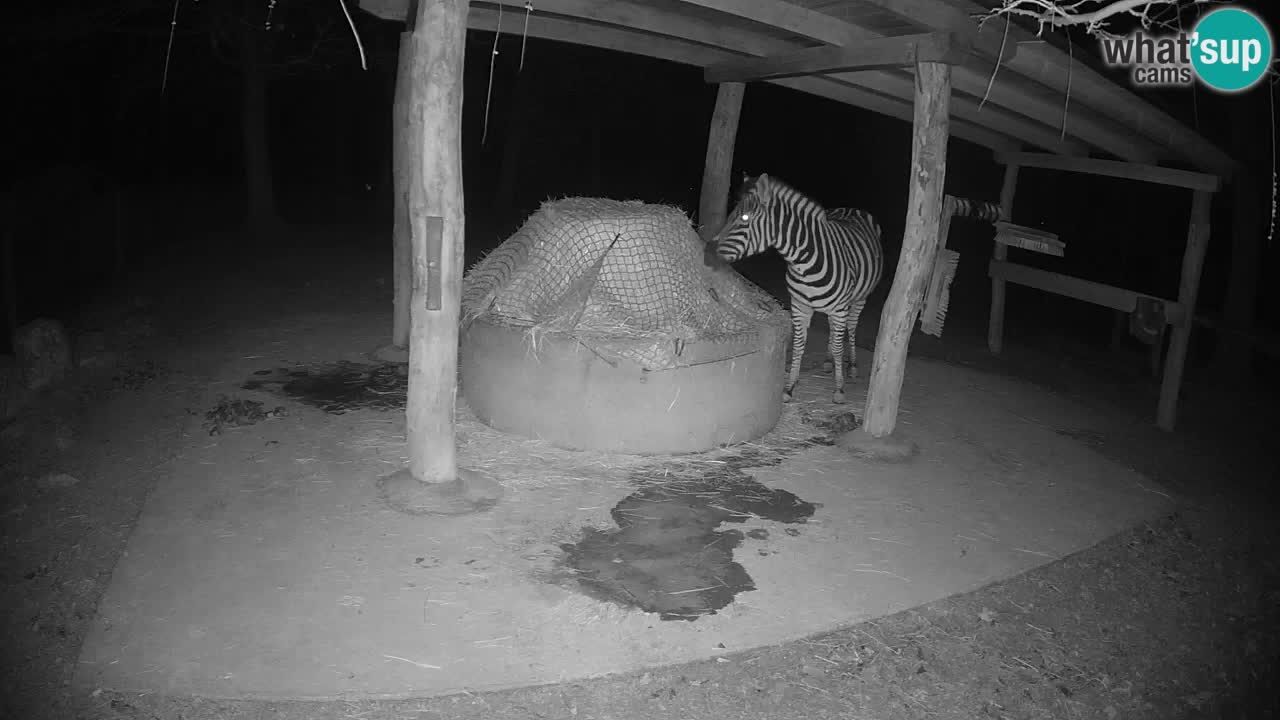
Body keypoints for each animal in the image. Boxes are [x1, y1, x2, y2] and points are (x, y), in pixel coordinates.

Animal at [705, 173, 885, 405]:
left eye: (744, 218)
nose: (706, 254)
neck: (804, 264)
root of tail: (851, 208)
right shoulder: (799, 306)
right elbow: (799, 345)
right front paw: (789, 388)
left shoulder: (839, 309)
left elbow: (838, 347)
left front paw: (839, 389)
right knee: (834, 328)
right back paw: (828, 362)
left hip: (859, 299)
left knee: (851, 327)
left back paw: (851, 366)